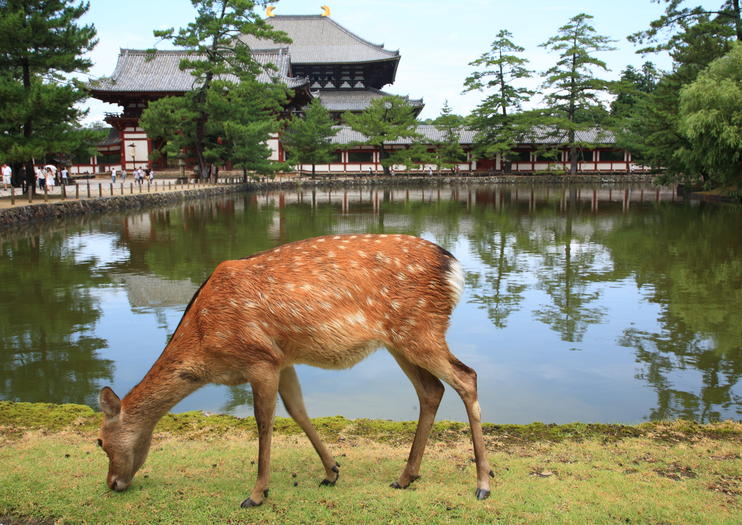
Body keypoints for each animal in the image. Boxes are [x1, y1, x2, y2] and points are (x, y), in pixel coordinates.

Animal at [97, 231, 494, 506]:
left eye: (99, 440)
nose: (112, 484)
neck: (206, 345)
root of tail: (455, 269)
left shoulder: (258, 358)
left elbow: (264, 421)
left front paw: (256, 493)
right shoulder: (282, 359)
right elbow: (298, 410)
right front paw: (332, 472)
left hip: (420, 329)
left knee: (466, 377)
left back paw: (482, 484)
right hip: (400, 340)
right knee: (431, 389)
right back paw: (406, 476)